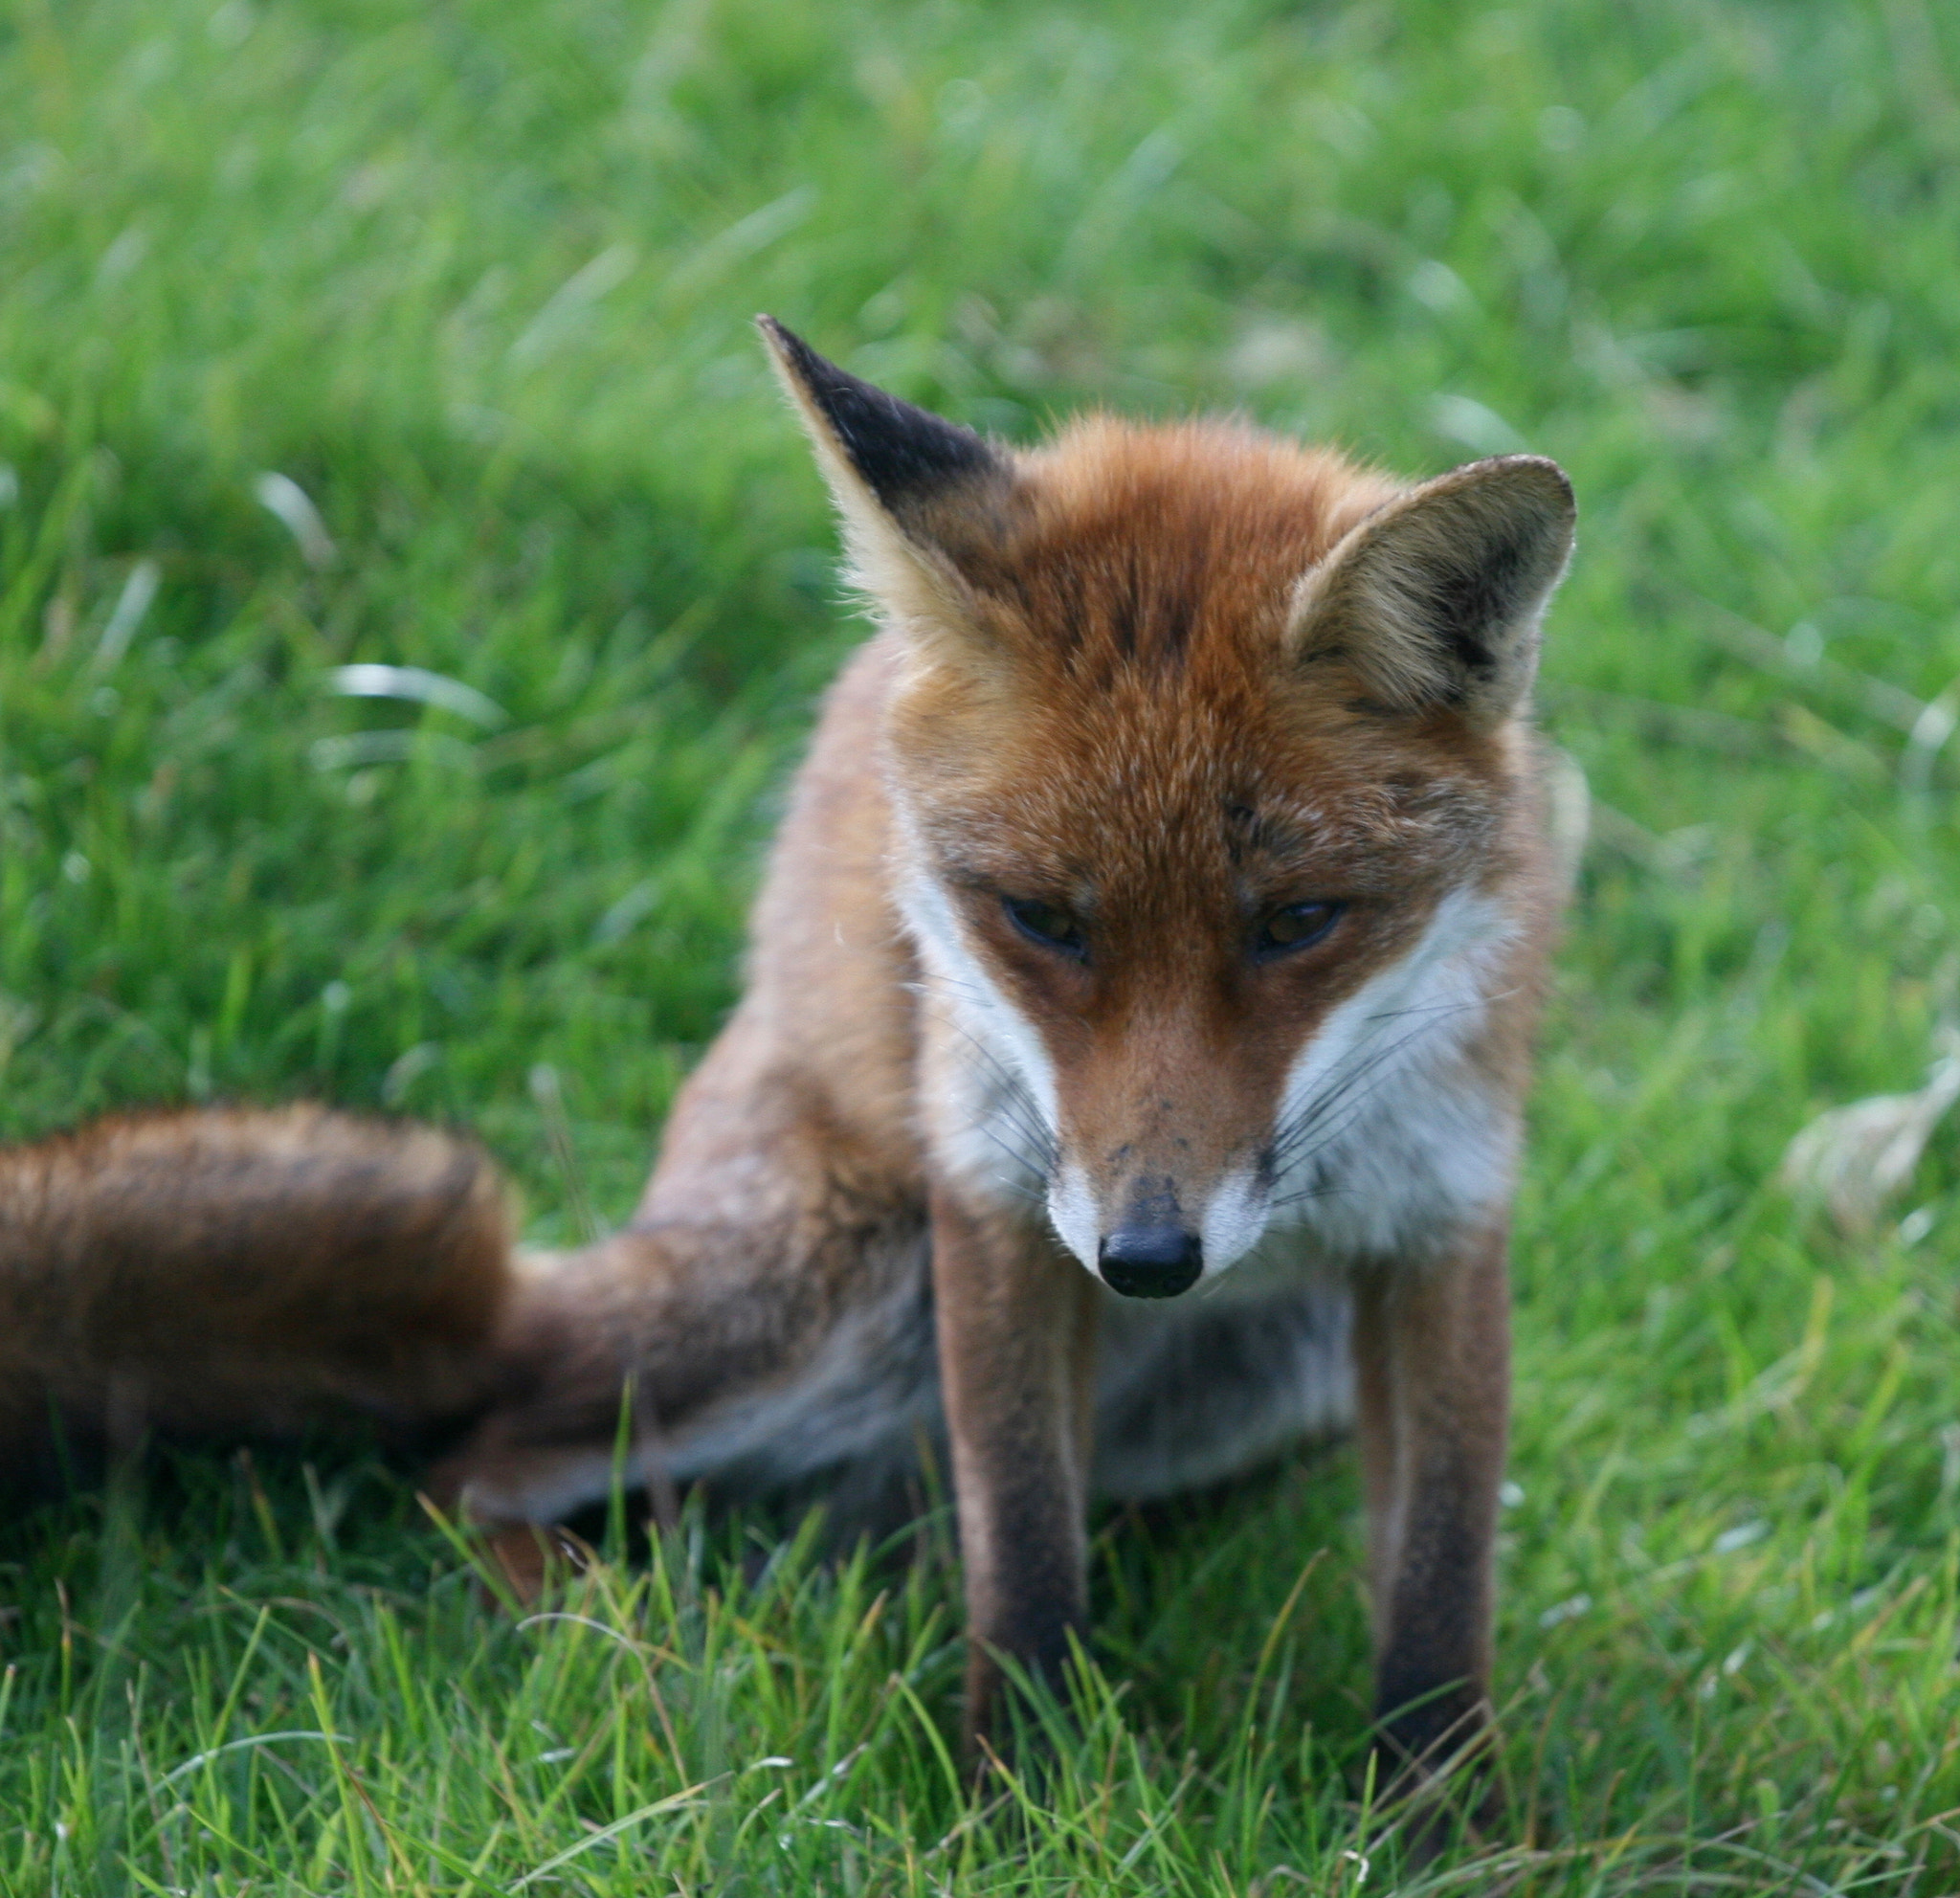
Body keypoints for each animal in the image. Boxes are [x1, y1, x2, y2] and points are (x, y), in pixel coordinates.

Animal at [0, 321, 1568, 1811]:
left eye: (1297, 923)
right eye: (1040, 921)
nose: (1148, 1259)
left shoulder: (1446, 1219)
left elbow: (1437, 1580)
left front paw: (1443, 1823)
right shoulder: (994, 1195)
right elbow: (1024, 1547)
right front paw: (1018, 1799)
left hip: (1254, 1371)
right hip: (831, 1283)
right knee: (472, 1460)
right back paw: (632, 1631)